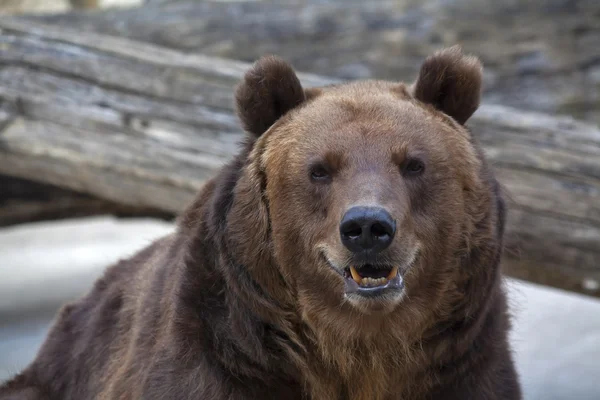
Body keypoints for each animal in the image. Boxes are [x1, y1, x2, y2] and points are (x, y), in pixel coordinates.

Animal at [1, 47, 520, 400]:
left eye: (413, 164)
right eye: (319, 169)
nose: (368, 228)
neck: (355, 349)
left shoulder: (464, 365)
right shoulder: (223, 358)